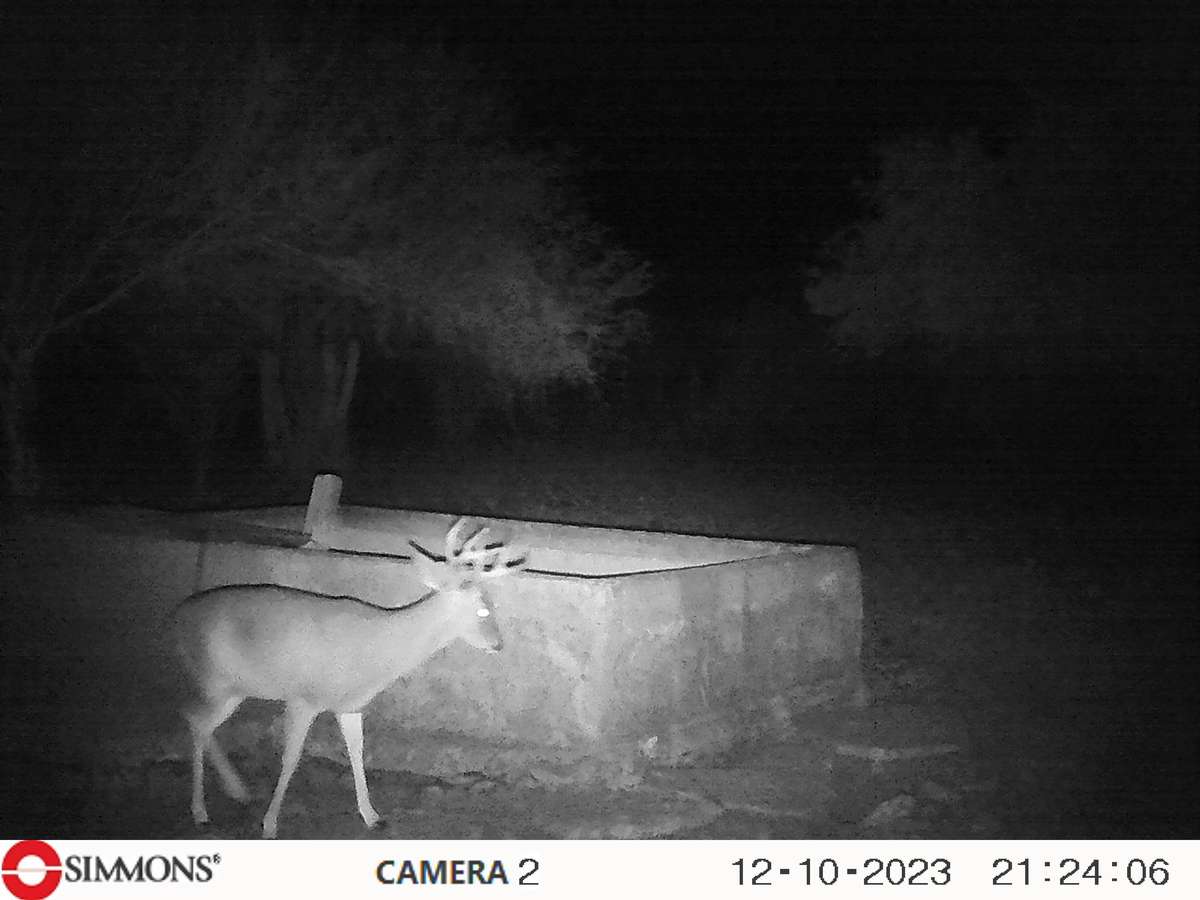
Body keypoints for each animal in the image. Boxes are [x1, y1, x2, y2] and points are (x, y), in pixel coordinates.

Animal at [171, 518, 525, 839]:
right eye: (482, 609)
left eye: (493, 604)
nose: (498, 644)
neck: (376, 654)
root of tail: (177, 616)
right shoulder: (304, 696)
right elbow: (291, 758)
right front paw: (270, 824)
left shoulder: (351, 704)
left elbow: (357, 751)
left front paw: (372, 816)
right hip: (214, 679)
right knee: (194, 720)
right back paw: (201, 810)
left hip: (233, 688)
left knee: (198, 720)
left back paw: (236, 790)